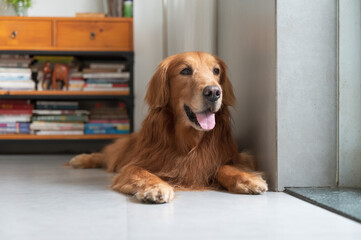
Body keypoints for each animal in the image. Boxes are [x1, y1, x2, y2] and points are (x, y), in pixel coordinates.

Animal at [69, 52, 268, 202]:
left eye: (216, 70)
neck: (189, 142)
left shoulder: (227, 157)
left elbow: (225, 167)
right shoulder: (135, 163)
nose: (213, 92)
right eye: (185, 70)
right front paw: (156, 187)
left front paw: (247, 179)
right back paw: (81, 159)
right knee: (106, 155)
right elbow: (141, 173)